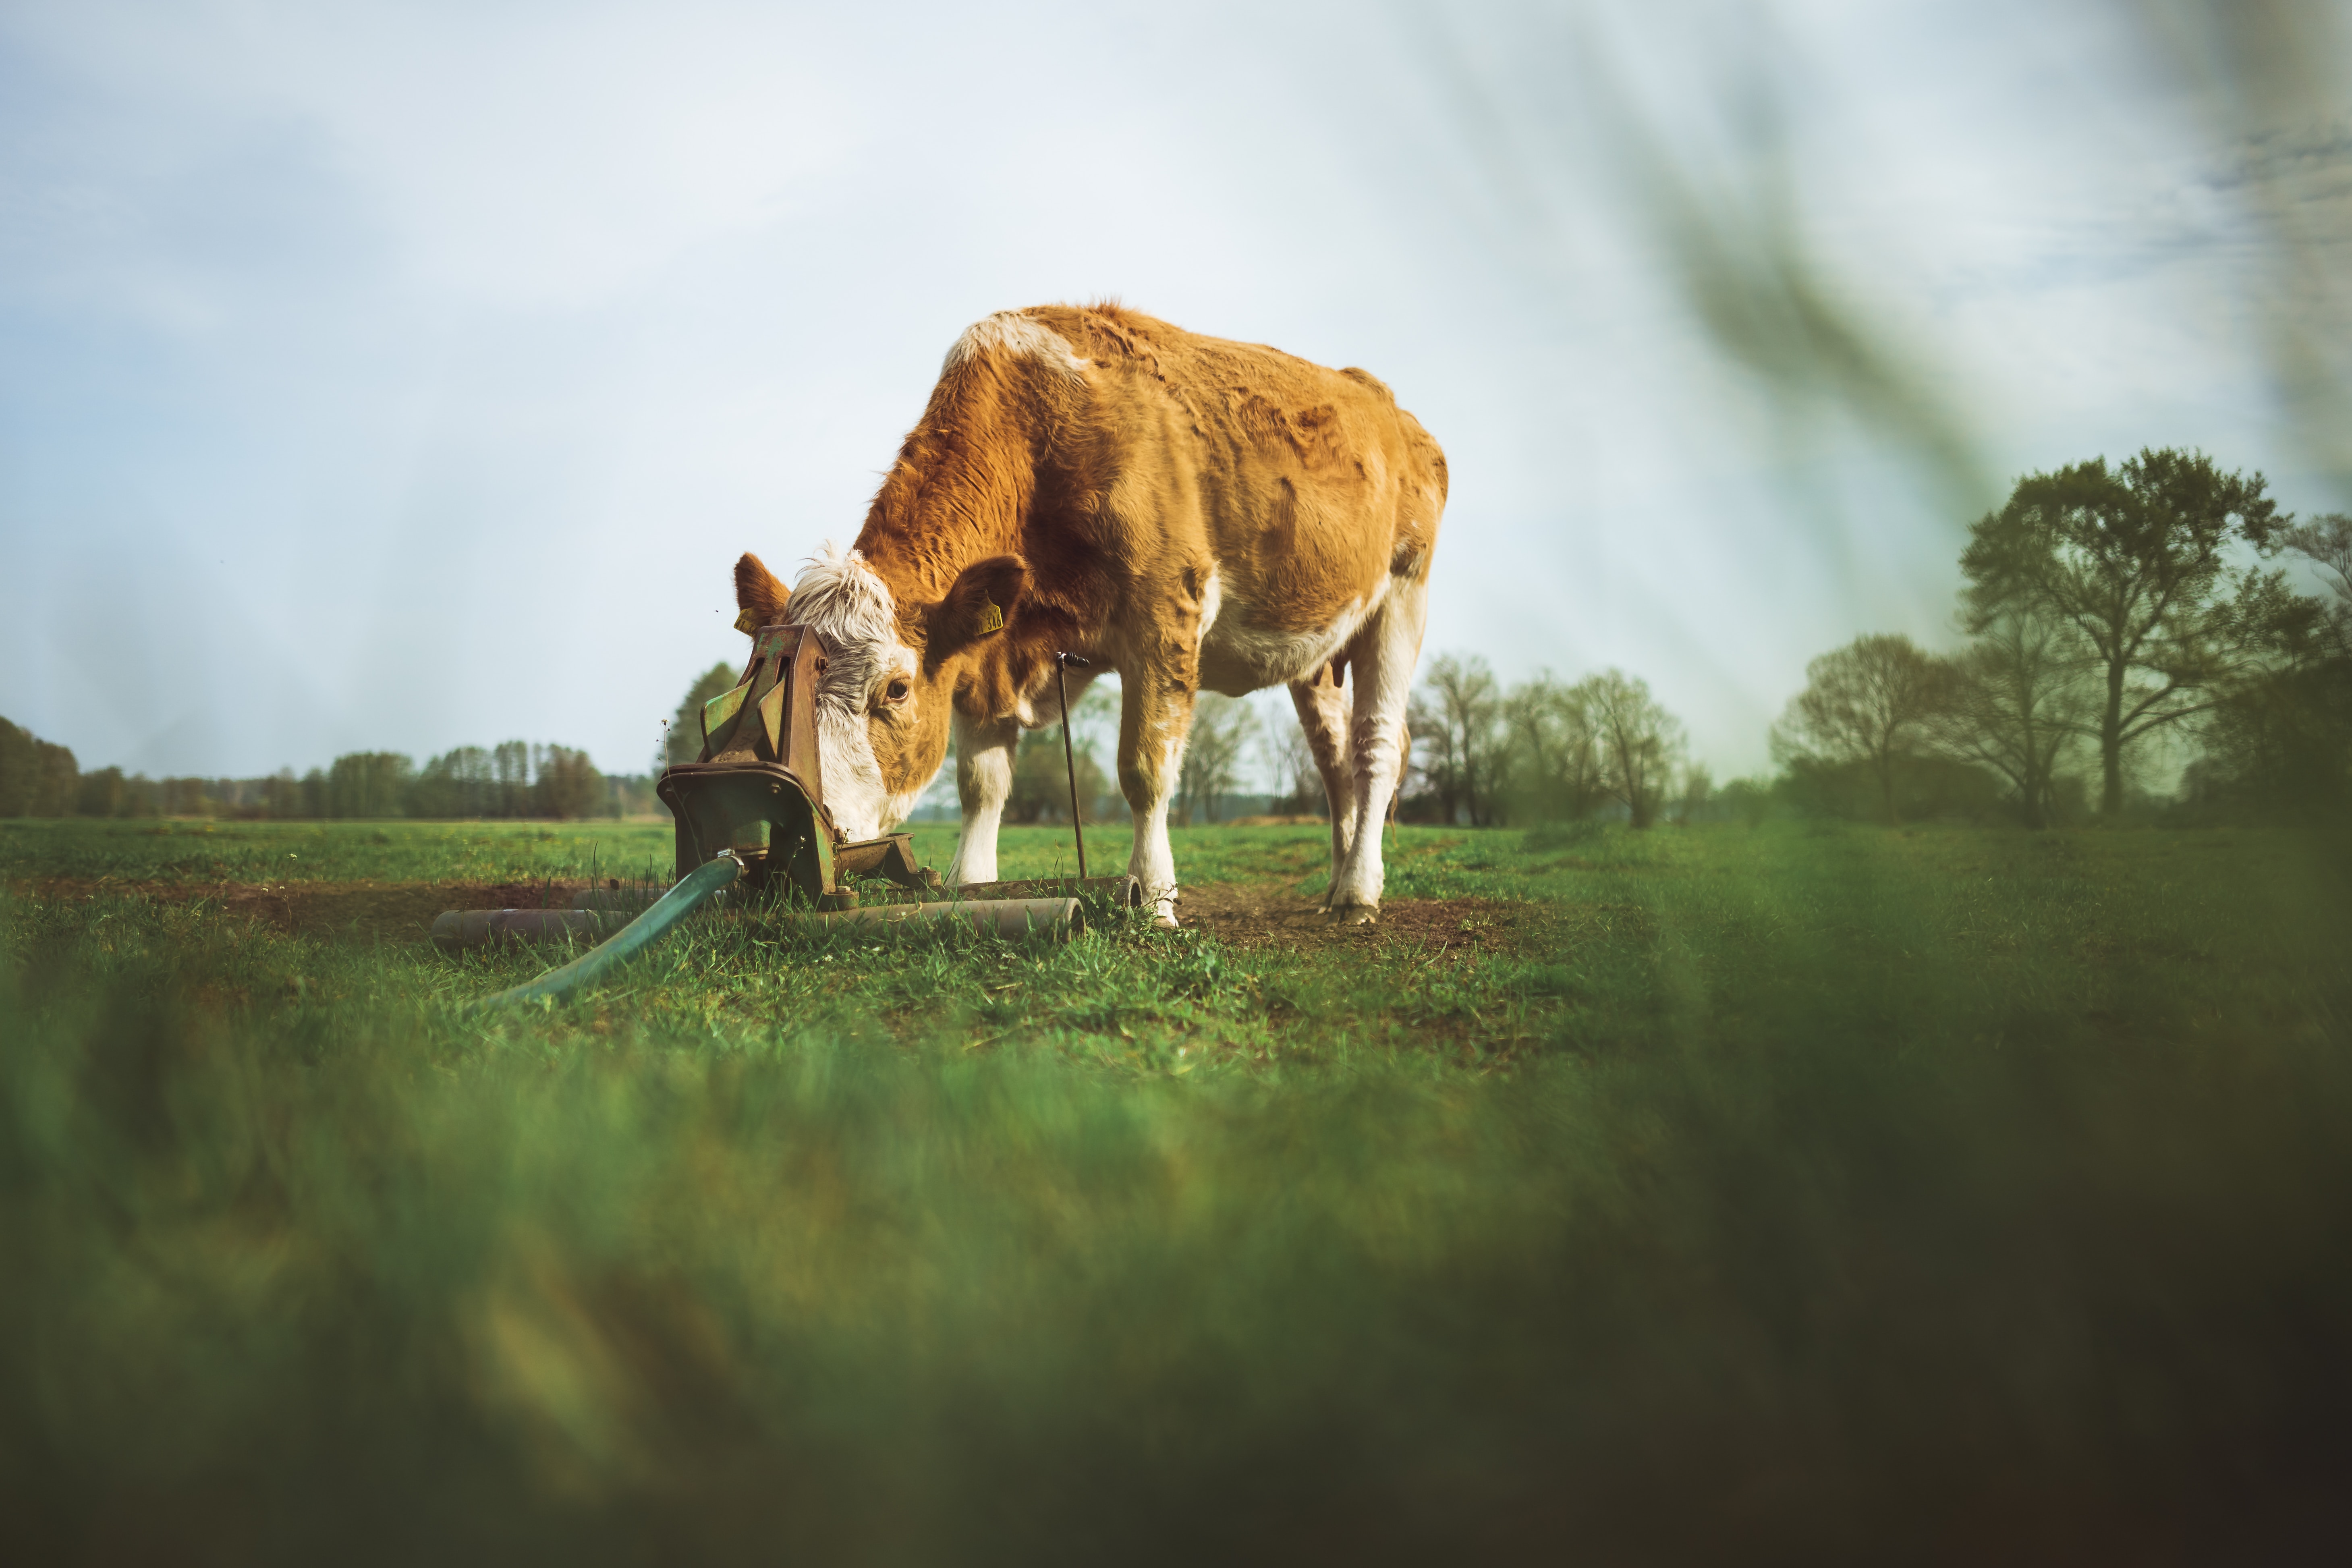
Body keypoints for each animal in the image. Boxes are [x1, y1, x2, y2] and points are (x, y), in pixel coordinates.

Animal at [724, 301, 1439, 926]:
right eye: (772, 682)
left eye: (896, 689)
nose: (814, 832)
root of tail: (1393, 412)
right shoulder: (988, 651)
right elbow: (981, 784)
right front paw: (969, 886)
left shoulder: (1164, 611)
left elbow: (1145, 770)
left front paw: (1153, 901)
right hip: (1317, 648)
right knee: (1334, 758)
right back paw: (1339, 881)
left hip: (1403, 593)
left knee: (1375, 747)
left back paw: (1359, 893)